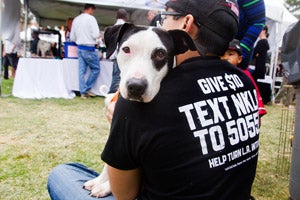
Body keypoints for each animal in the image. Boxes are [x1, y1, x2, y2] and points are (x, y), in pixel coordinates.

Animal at [82, 23, 196, 197]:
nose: (136, 86)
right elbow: (109, 165)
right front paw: (99, 181)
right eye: (126, 49)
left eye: (161, 54)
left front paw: (105, 187)